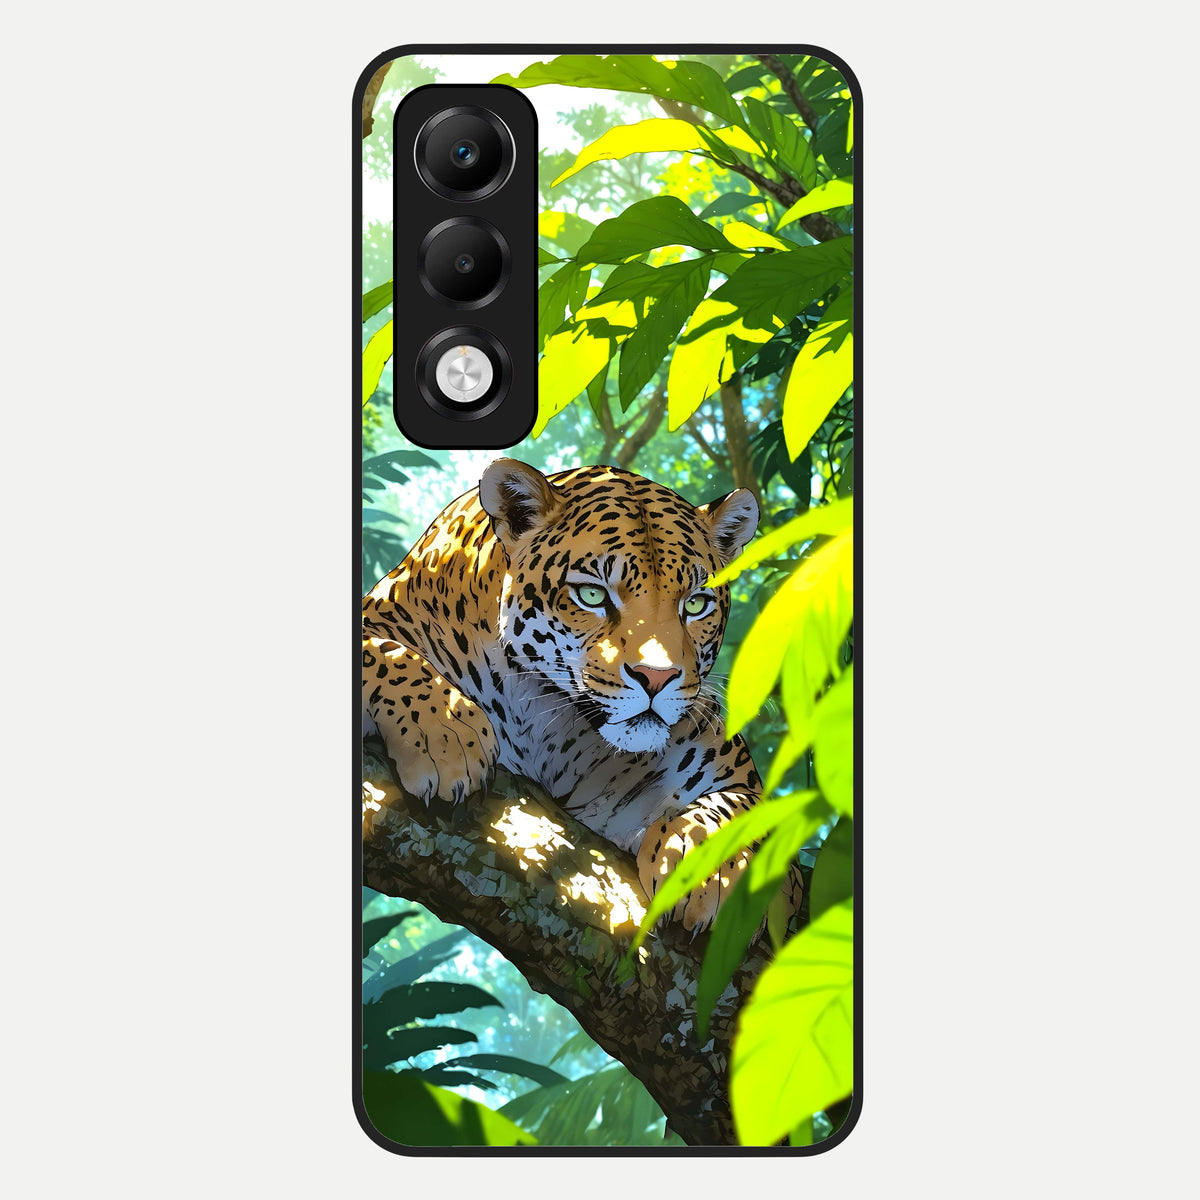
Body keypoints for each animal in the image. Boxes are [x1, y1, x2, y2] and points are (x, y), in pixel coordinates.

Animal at [362, 458, 802, 931]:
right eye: (592, 595)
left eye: (696, 604)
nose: (656, 677)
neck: (546, 722)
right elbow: (381, 651)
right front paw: (446, 734)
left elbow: (749, 809)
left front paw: (707, 866)